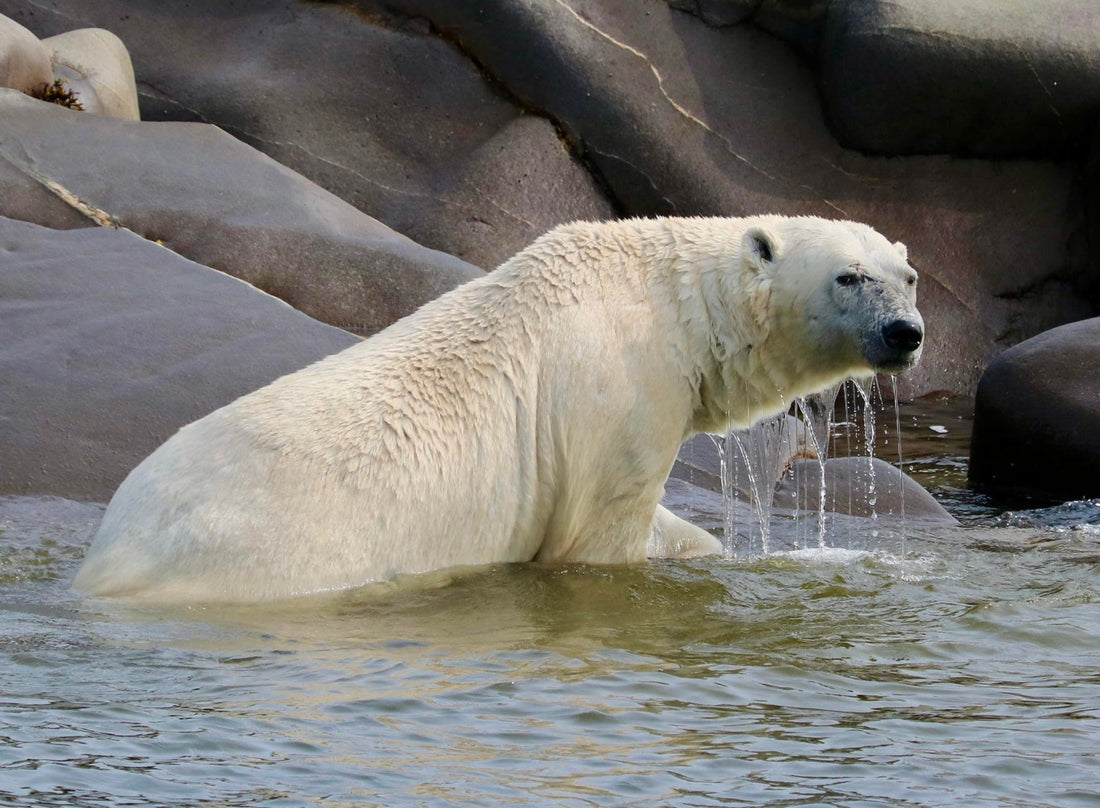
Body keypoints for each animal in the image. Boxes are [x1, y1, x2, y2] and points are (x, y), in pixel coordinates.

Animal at [73, 216, 924, 602]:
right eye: (848, 276)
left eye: (907, 275)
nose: (904, 333)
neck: (663, 302)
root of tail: (112, 556)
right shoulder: (618, 391)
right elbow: (600, 532)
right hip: (272, 554)